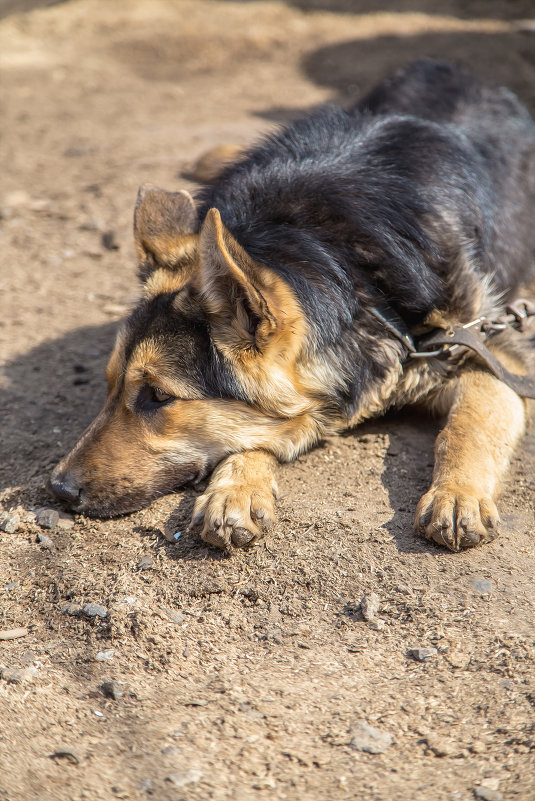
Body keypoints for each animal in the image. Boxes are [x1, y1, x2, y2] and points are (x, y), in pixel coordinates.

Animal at [49, 61, 535, 552]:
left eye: (159, 396)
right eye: (109, 385)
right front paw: (236, 488)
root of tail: (446, 67)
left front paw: (457, 495)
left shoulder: (489, 351)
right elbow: (256, 433)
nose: (58, 489)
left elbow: (468, 426)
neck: (351, 276)